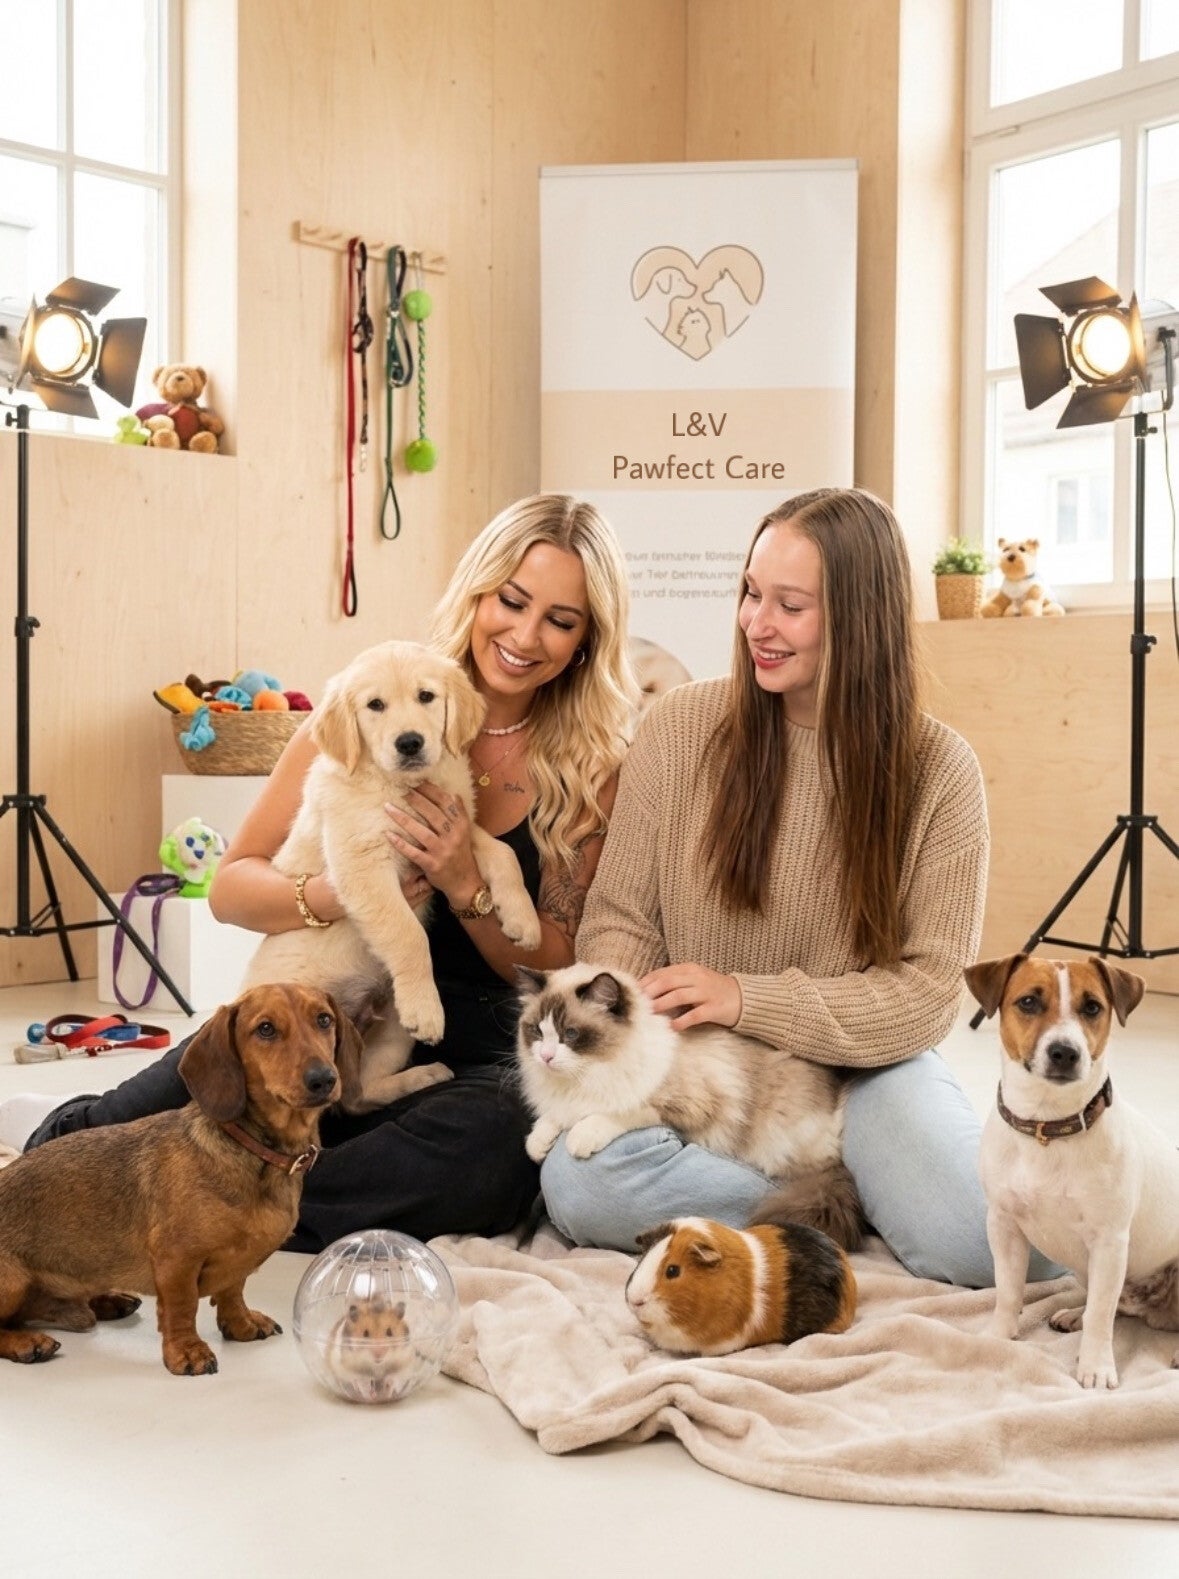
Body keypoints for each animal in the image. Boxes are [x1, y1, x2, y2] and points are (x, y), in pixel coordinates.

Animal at [0, 984, 362, 1375]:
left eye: (323, 1019)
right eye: (265, 1029)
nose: (324, 1079)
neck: (255, 1151)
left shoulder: (239, 1263)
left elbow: (233, 1290)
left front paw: (242, 1324)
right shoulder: (177, 1261)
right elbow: (182, 1307)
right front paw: (187, 1352)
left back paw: (108, 1300)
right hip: (13, 1282)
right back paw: (27, 1342)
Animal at [242, 641, 542, 1112]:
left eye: (426, 696)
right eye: (375, 705)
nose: (410, 742)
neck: (399, 786)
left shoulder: (455, 827)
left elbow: (503, 852)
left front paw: (522, 921)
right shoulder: (363, 862)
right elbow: (407, 934)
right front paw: (427, 1009)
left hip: (392, 1033)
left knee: (357, 1095)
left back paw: (424, 1075)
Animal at [515, 962, 864, 1250]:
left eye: (570, 1034)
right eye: (537, 1032)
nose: (545, 1057)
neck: (589, 1074)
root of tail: (834, 1151)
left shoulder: (682, 1105)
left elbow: (617, 1112)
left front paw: (579, 1137)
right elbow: (554, 1118)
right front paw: (537, 1144)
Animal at [964, 951, 1179, 1389]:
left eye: (1092, 1007)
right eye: (1029, 1002)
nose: (1065, 1051)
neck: (1047, 1126)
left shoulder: (1110, 1241)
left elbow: (1101, 1315)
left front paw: (1095, 1367)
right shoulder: (1003, 1225)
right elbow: (1008, 1290)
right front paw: (999, 1337)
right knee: (1113, 1303)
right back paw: (1073, 1314)